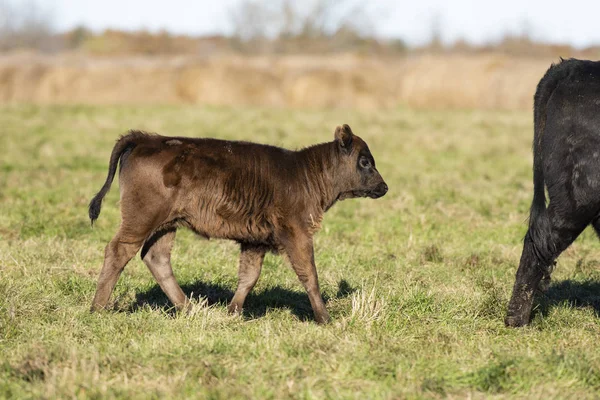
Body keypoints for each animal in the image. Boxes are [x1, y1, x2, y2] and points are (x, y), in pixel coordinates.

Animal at [89, 123, 390, 324]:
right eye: (365, 161)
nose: (384, 187)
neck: (305, 172)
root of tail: (148, 138)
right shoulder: (297, 233)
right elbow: (309, 275)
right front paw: (325, 318)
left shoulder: (255, 240)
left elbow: (249, 276)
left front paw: (233, 312)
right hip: (141, 219)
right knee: (118, 251)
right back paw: (98, 308)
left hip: (166, 224)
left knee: (157, 258)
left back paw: (189, 309)